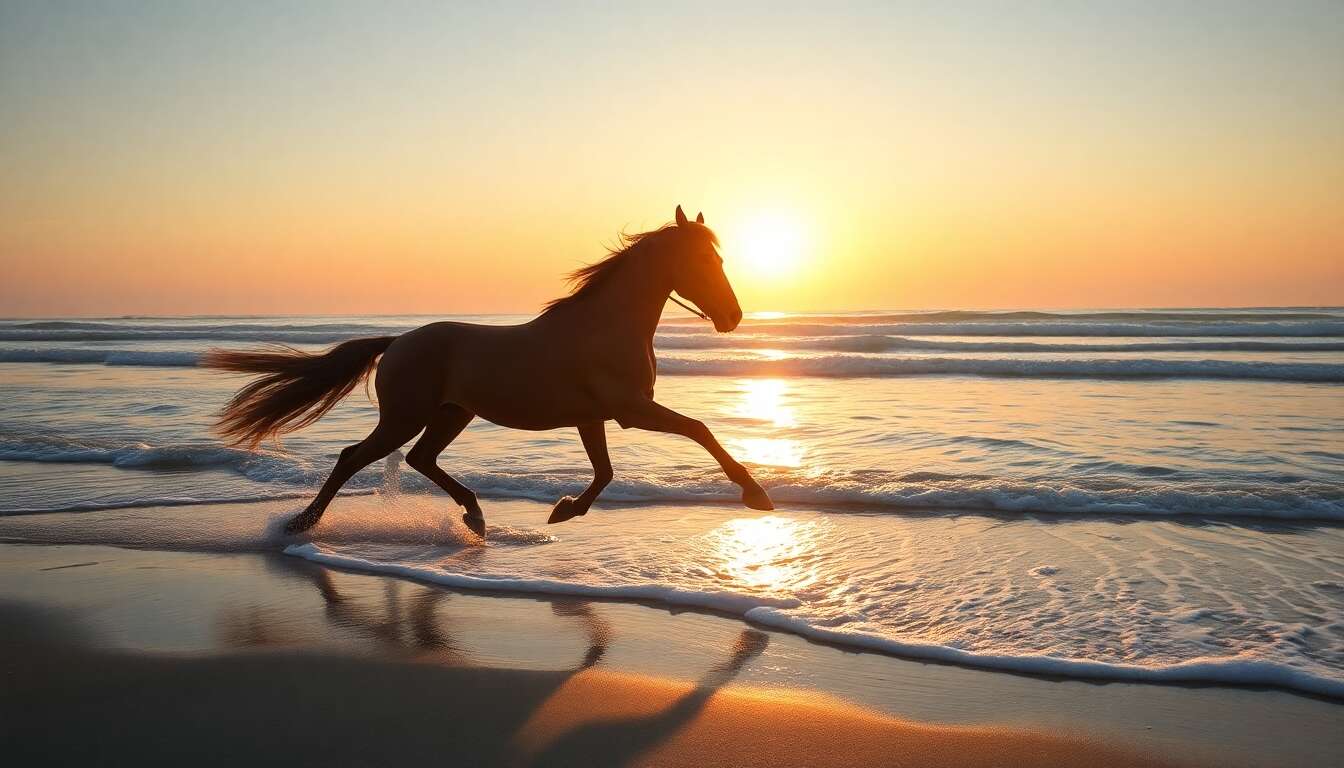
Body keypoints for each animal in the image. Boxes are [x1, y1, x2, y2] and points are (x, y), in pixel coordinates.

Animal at [203, 206, 774, 538]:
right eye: (704, 261)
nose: (733, 316)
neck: (607, 327)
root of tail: (398, 342)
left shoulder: (594, 417)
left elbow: (605, 472)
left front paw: (565, 510)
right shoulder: (632, 410)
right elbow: (699, 430)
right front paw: (756, 495)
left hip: (452, 414)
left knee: (420, 459)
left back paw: (474, 515)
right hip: (406, 417)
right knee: (353, 458)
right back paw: (302, 522)